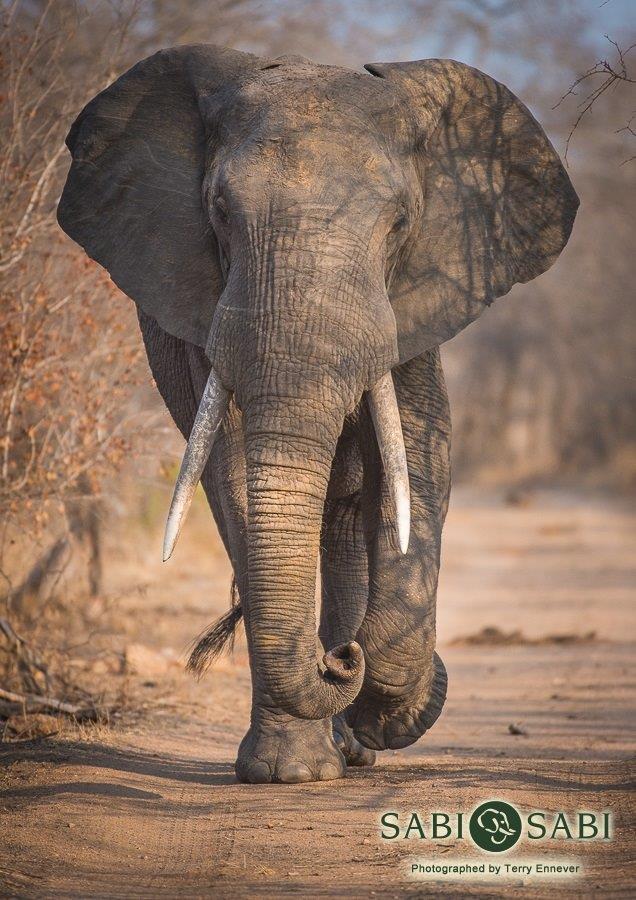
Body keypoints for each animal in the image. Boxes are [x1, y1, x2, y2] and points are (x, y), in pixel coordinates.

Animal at [57, 45, 578, 784]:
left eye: (399, 223)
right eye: (219, 213)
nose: (336, 662)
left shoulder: (415, 301)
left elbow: (418, 461)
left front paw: (379, 697)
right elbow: (234, 477)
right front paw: (290, 771)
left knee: (349, 512)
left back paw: (353, 737)